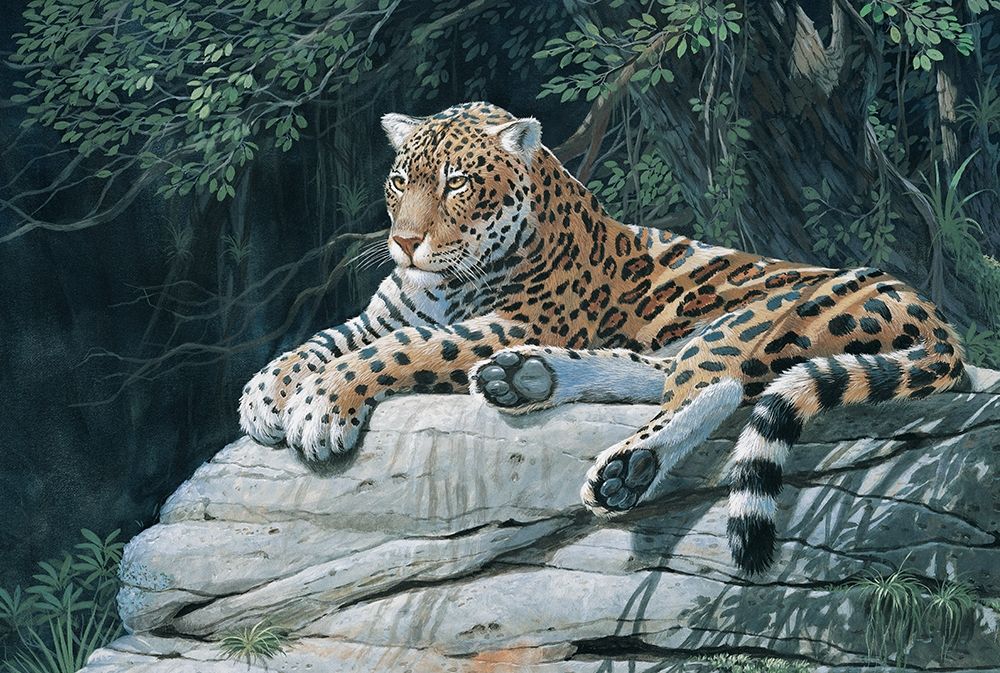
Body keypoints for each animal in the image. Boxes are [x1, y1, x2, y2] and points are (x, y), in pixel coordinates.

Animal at [239, 101, 965, 575]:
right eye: (399, 180)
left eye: (457, 183)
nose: (405, 242)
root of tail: (929, 311)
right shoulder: (390, 313)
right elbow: (326, 338)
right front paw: (264, 394)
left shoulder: (506, 323)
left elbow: (398, 352)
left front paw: (319, 407)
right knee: (662, 370)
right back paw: (525, 377)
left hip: (754, 315)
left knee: (718, 385)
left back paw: (624, 468)